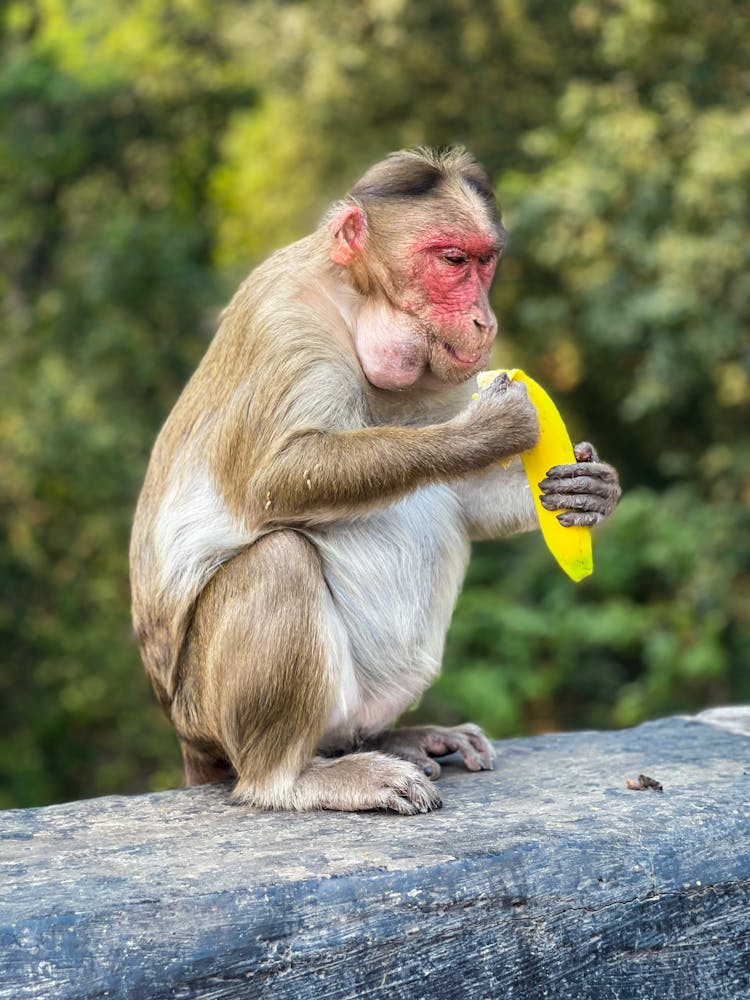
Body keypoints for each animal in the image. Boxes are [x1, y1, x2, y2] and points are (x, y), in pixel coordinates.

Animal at [131, 150, 624, 820]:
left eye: (485, 262)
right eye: (452, 261)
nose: (485, 319)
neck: (353, 307)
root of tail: (188, 741)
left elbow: (464, 501)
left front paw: (589, 487)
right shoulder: (285, 320)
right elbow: (274, 478)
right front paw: (490, 429)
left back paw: (394, 739)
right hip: (206, 716)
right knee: (279, 560)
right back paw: (293, 778)